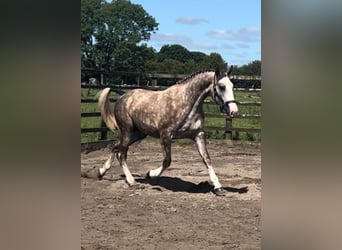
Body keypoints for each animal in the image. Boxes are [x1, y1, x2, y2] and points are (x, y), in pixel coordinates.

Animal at [97, 67, 238, 195]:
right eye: (221, 86)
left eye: (232, 85)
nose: (234, 111)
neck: (186, 103)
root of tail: (123, 95)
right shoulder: (165, 135)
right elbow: (167, 161)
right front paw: (150, 174)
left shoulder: (198, 134)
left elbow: (206, 159)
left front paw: (218, 187)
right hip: (127, 131)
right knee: (122, 153)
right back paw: (132, 181)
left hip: (138, 134)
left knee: (116, 148)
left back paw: (101, 172)